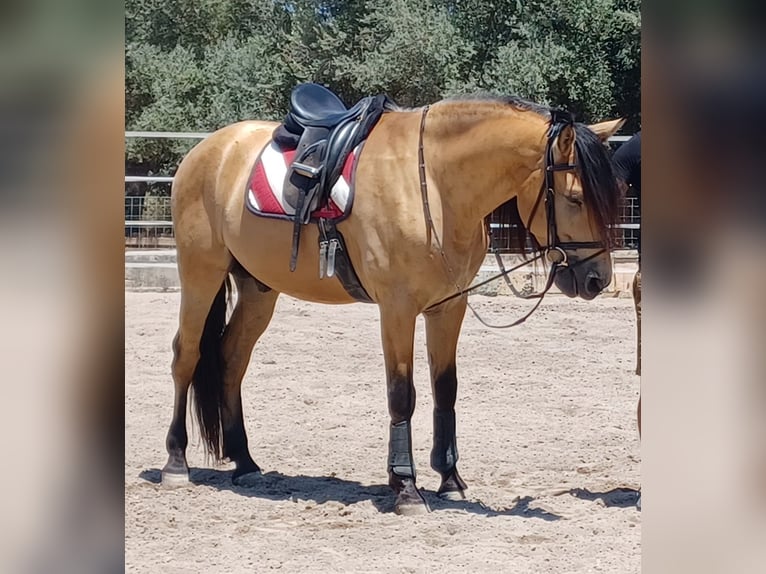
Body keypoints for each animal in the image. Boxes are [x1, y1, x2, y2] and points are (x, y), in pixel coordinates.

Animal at [161, 93, 624, 515]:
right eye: (575, 198)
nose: (598, 279)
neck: (433, 184)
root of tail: (208, 150)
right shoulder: (397, 309)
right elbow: (402, 393)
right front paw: (405, 487)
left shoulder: (448, 306)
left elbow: (445, 388)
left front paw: (450, 479)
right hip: (200, 273)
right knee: (187, 356)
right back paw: (175, 463)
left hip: (258, 289)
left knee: (231, 359)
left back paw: (245, 462)